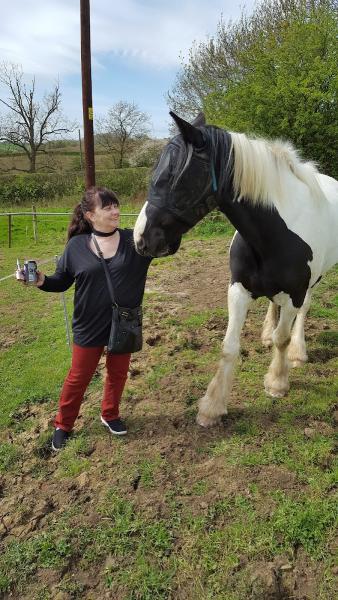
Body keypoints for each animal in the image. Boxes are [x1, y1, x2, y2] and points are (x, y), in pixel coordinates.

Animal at [133, 112, 338, 426]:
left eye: (173, 176)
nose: (140, 239)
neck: (275, 233)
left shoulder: (296, 292)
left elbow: (282, 337)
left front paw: (277, 382)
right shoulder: (238, 289)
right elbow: (229, 346)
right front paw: (212, 406)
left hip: (313, 281)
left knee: (302, 312)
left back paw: (298, 352)